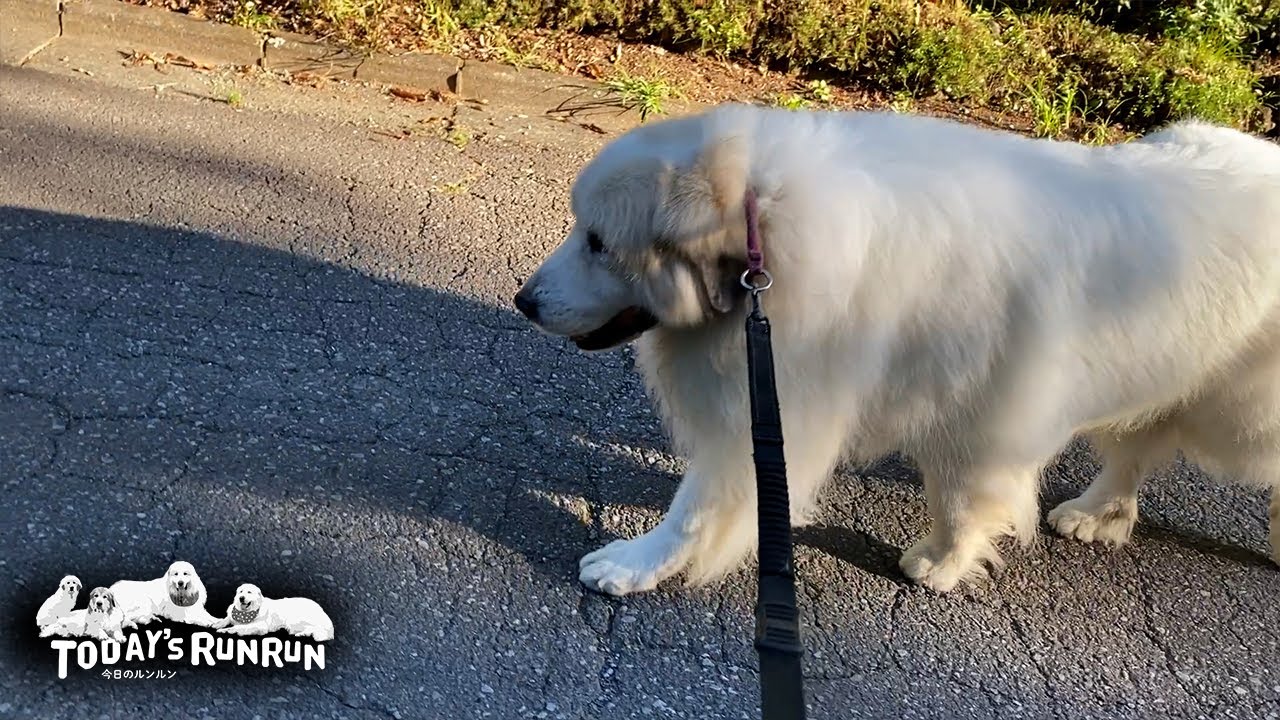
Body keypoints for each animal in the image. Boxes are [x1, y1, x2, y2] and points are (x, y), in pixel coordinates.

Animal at [514, 103, 1280, 594]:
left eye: (598, 242)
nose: (523, 301)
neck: (779, 240)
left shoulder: (970, 416)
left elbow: (696, 510)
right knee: (1135, 453)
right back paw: (1098, 515)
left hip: (1241, 413)